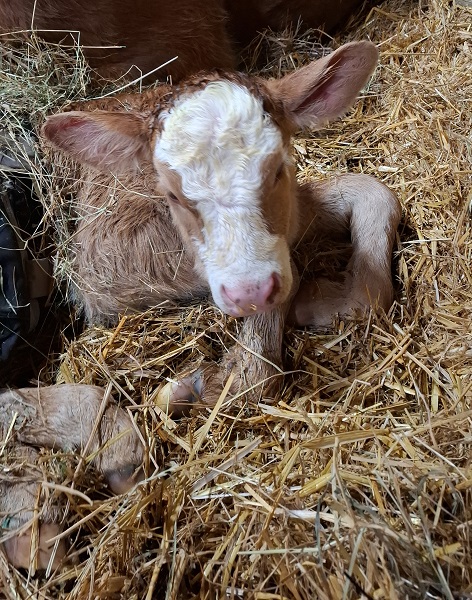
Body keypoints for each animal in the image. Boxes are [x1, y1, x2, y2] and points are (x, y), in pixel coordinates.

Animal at [41, 42, 402, 406]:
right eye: (172, 195)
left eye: (277, 170)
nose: (250, 293)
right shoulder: (108, 270)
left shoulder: (293, 214)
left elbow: (377, 195)